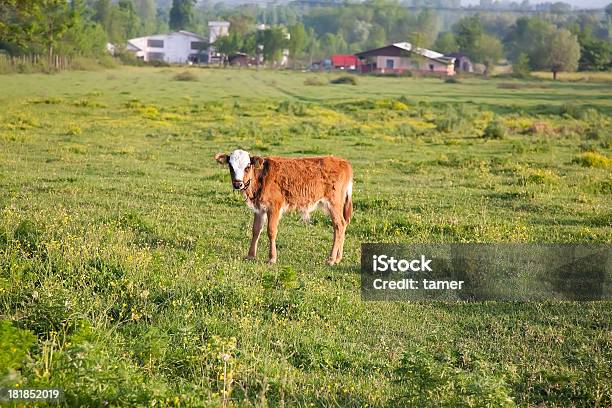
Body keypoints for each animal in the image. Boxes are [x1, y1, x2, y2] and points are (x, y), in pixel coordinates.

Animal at [214, 150, 354, 264]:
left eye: (247, 166)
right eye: (231, 166)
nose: (238, 184)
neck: (261, 177)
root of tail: (343, 162)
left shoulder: (274, 207)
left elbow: (271, 231)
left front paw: (272, 258)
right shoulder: (260, 209)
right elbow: (256, 230)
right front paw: (250, 255)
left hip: (334, 203)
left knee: (339, 225)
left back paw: (332, 259)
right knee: (341, 226)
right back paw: (338, 258)